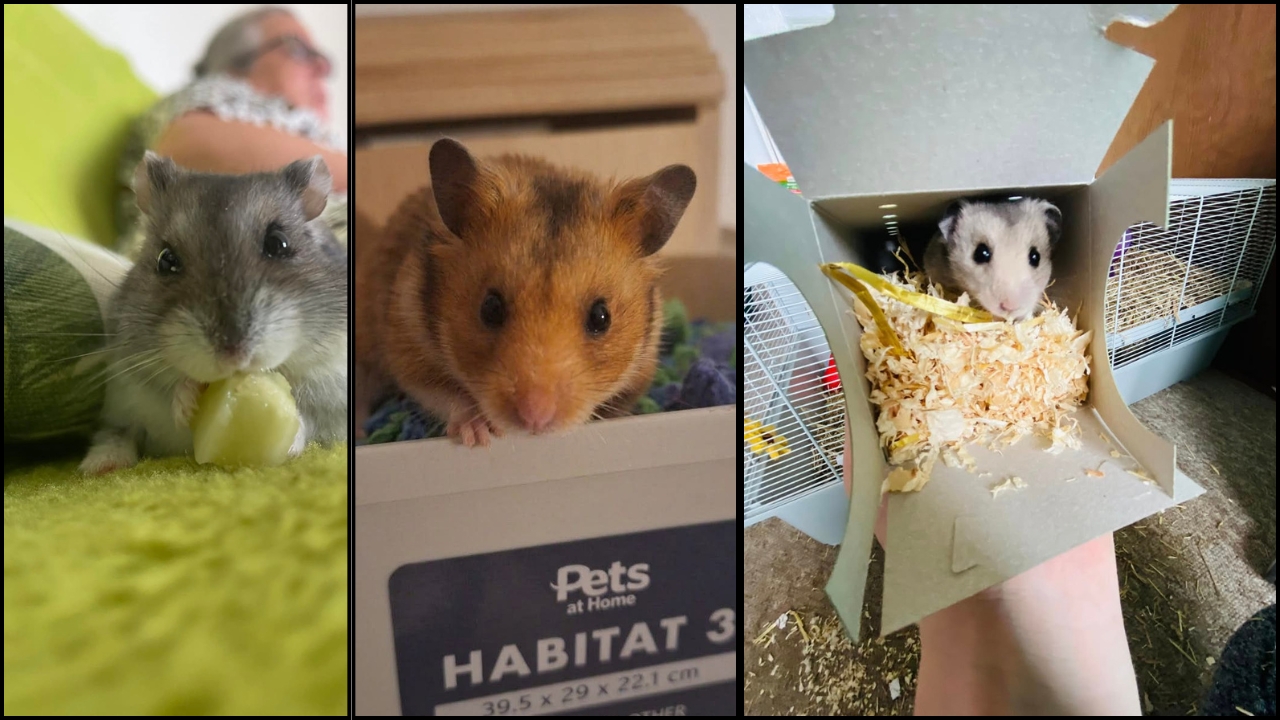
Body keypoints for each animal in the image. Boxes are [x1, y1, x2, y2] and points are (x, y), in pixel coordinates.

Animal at [78, 152, 348, 474]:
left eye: (278, 243)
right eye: (165, 260)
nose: (233, 357)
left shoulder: (334, 390)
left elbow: (307, 417)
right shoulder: (128, 379)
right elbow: (162, 399)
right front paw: (187, 403)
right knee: (117, 433)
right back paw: (99, 467)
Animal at [355, 138, 696, 447]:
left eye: (602, 317)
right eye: (490, 308)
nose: (535, 419)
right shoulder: (406, 339)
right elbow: (441, 392)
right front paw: (479, 435)